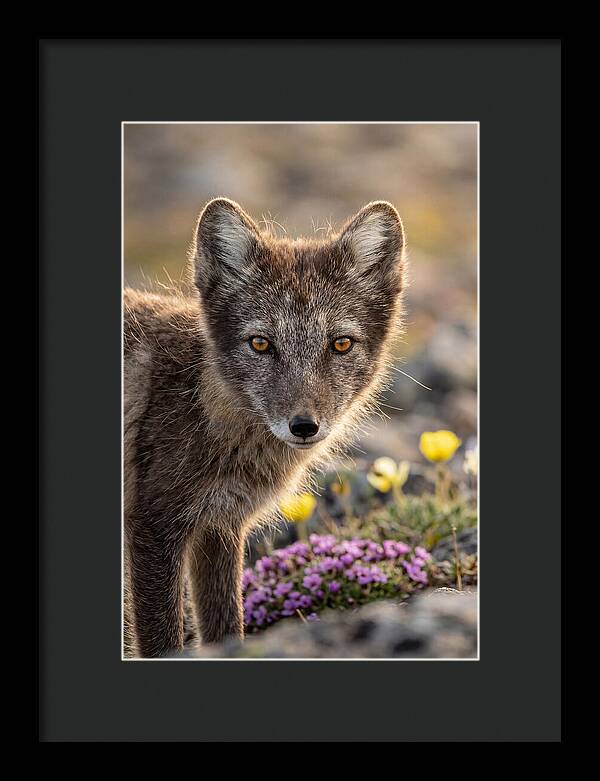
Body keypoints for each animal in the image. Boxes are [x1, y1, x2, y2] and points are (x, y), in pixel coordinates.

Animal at [123, 197, 407, 658]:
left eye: (341, 344)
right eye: (260, 343)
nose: (304, 426)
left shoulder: (219, 528)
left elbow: (226, 628)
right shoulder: (154, 526)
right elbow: (163, 641)